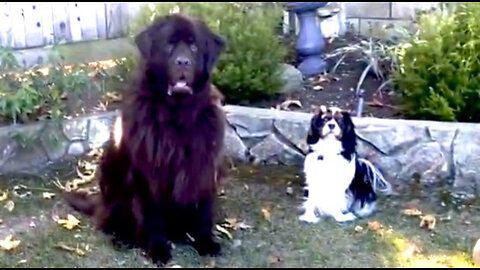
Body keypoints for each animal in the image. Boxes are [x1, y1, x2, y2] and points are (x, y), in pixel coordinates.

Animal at [65, 13, 229, 264]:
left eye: (194, 46)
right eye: (169, 44)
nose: (183, 62)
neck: (176, 116)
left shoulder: (203, 167)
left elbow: (203, 209)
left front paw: (205, 241)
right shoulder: (148, 173)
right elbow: (152, 215)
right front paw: (157, 249)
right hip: (111, 177)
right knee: (112, 219)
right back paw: (122, 238)